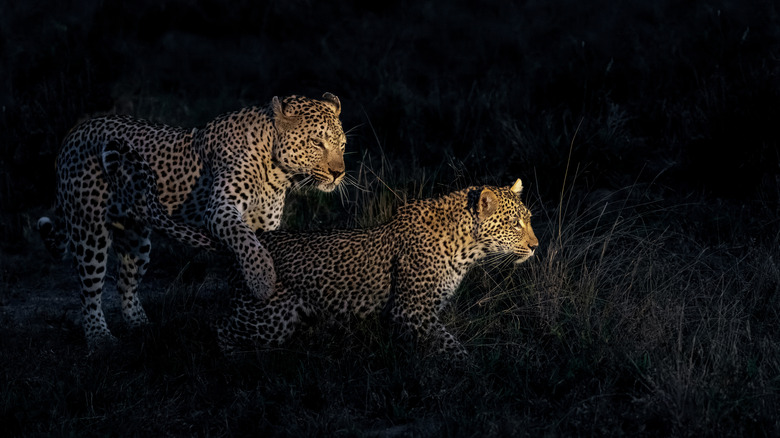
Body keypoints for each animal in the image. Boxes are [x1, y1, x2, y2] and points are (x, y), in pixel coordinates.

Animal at [35, 93, 348, 350]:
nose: (339, 173)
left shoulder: (266, 228)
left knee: (126, 284)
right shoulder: (220, 210)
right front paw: (262, 281)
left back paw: (142, 326)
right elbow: (247, 244)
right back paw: (100, 338)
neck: (277, 171)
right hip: (90, 230)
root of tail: (75, 132)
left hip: (136, 239)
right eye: (316, 143)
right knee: (89, 290)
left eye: (343, 145)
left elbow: (252, 254)